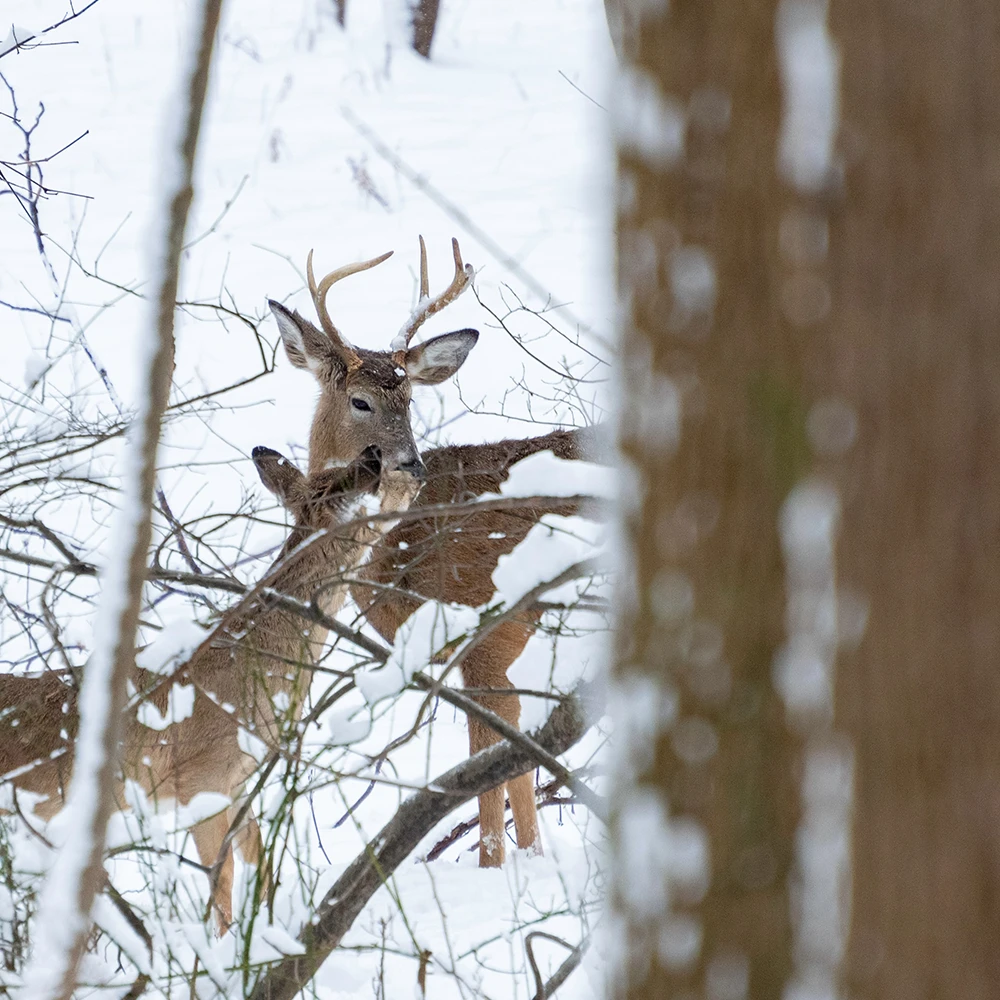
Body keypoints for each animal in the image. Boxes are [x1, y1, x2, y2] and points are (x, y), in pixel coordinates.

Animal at [0, 442, 420, 924]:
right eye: (367, 482)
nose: (401, 463)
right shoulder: (201, 778)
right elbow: (222, 881)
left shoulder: (239, 782)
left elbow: (261, 862)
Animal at [266, 236, 596, 868]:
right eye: (360, 401)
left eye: (410, 401)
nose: (409, 463)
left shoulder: (492, 633)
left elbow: (492, 784)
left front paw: (493, 868)